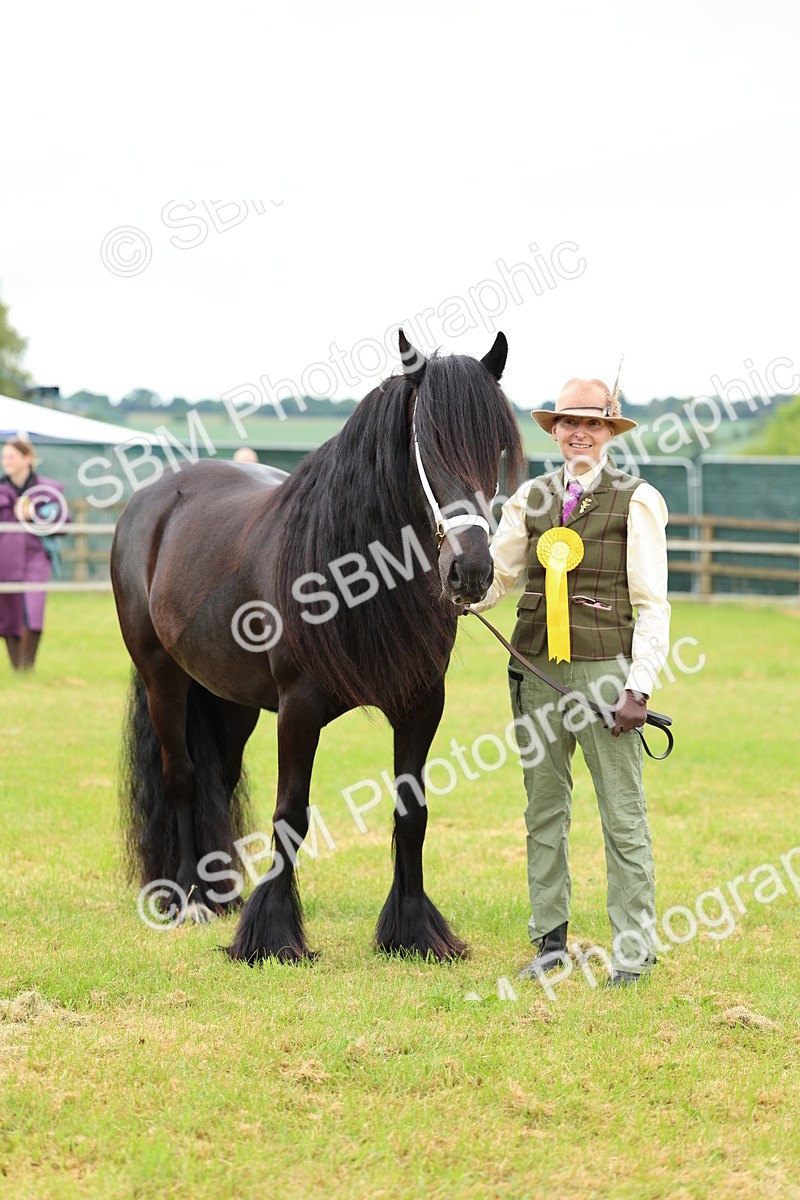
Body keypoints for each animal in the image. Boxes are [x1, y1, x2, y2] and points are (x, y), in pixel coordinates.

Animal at [112, 330, 524, 963]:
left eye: (498, 450)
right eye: (426, 445)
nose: (472, 572)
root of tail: (151, 498)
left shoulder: (421, 705)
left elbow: (412, 813)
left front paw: (413, 931)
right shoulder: (299, 708)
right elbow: (291, 815)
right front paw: (271, 936)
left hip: (231, 700)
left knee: (218, 780)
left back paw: (221, 891)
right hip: (164, 678)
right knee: (179, 775)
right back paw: (191, 900)